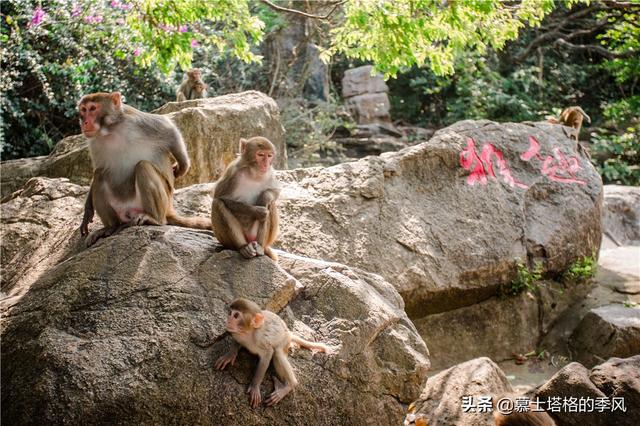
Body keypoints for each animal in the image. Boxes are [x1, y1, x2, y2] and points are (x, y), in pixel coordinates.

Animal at [78, 92, 210, 246]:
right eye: (83, 110)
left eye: (93, 108)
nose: (84, 122)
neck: (111, 130)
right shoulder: (93, 142)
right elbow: (99, 167)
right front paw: (88, 210)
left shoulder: (137, 121)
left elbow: (169, 129)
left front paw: (183, 166)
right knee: (100, 174)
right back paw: (111, 227)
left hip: (163, 201)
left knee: (143, 167)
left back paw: (154, 218)